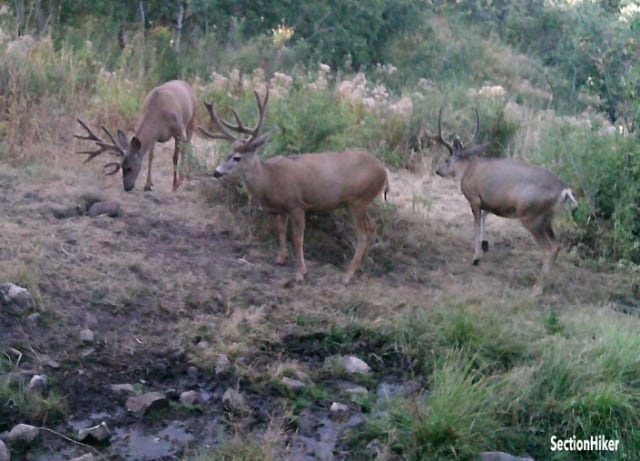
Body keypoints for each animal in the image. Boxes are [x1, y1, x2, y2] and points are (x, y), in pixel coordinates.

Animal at [200, 84, 390, 282]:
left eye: (237, 157)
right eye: (228, 153)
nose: (216, 172)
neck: (269, 178)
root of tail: (384, 172)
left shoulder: (296, 204)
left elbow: (298, 238)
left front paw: (300, 272)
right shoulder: (281, 209)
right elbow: (281, 231)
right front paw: (280, 258)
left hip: (359, 199)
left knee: (363, 234)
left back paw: (347, 275)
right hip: (359, 202)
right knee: (373, 227)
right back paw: (362, 267)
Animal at [428, 108, 576, 294]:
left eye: (447, 160)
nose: (438, 170)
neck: (467, 170)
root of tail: (565, 191)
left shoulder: (474, 198)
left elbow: (476, 224)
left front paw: (475, 257)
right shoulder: (490, 202)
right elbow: (484, 218)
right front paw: (485, 246)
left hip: (531, 216)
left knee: (550, 248)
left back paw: (537, 289)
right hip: (547, 219)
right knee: (557, 245)